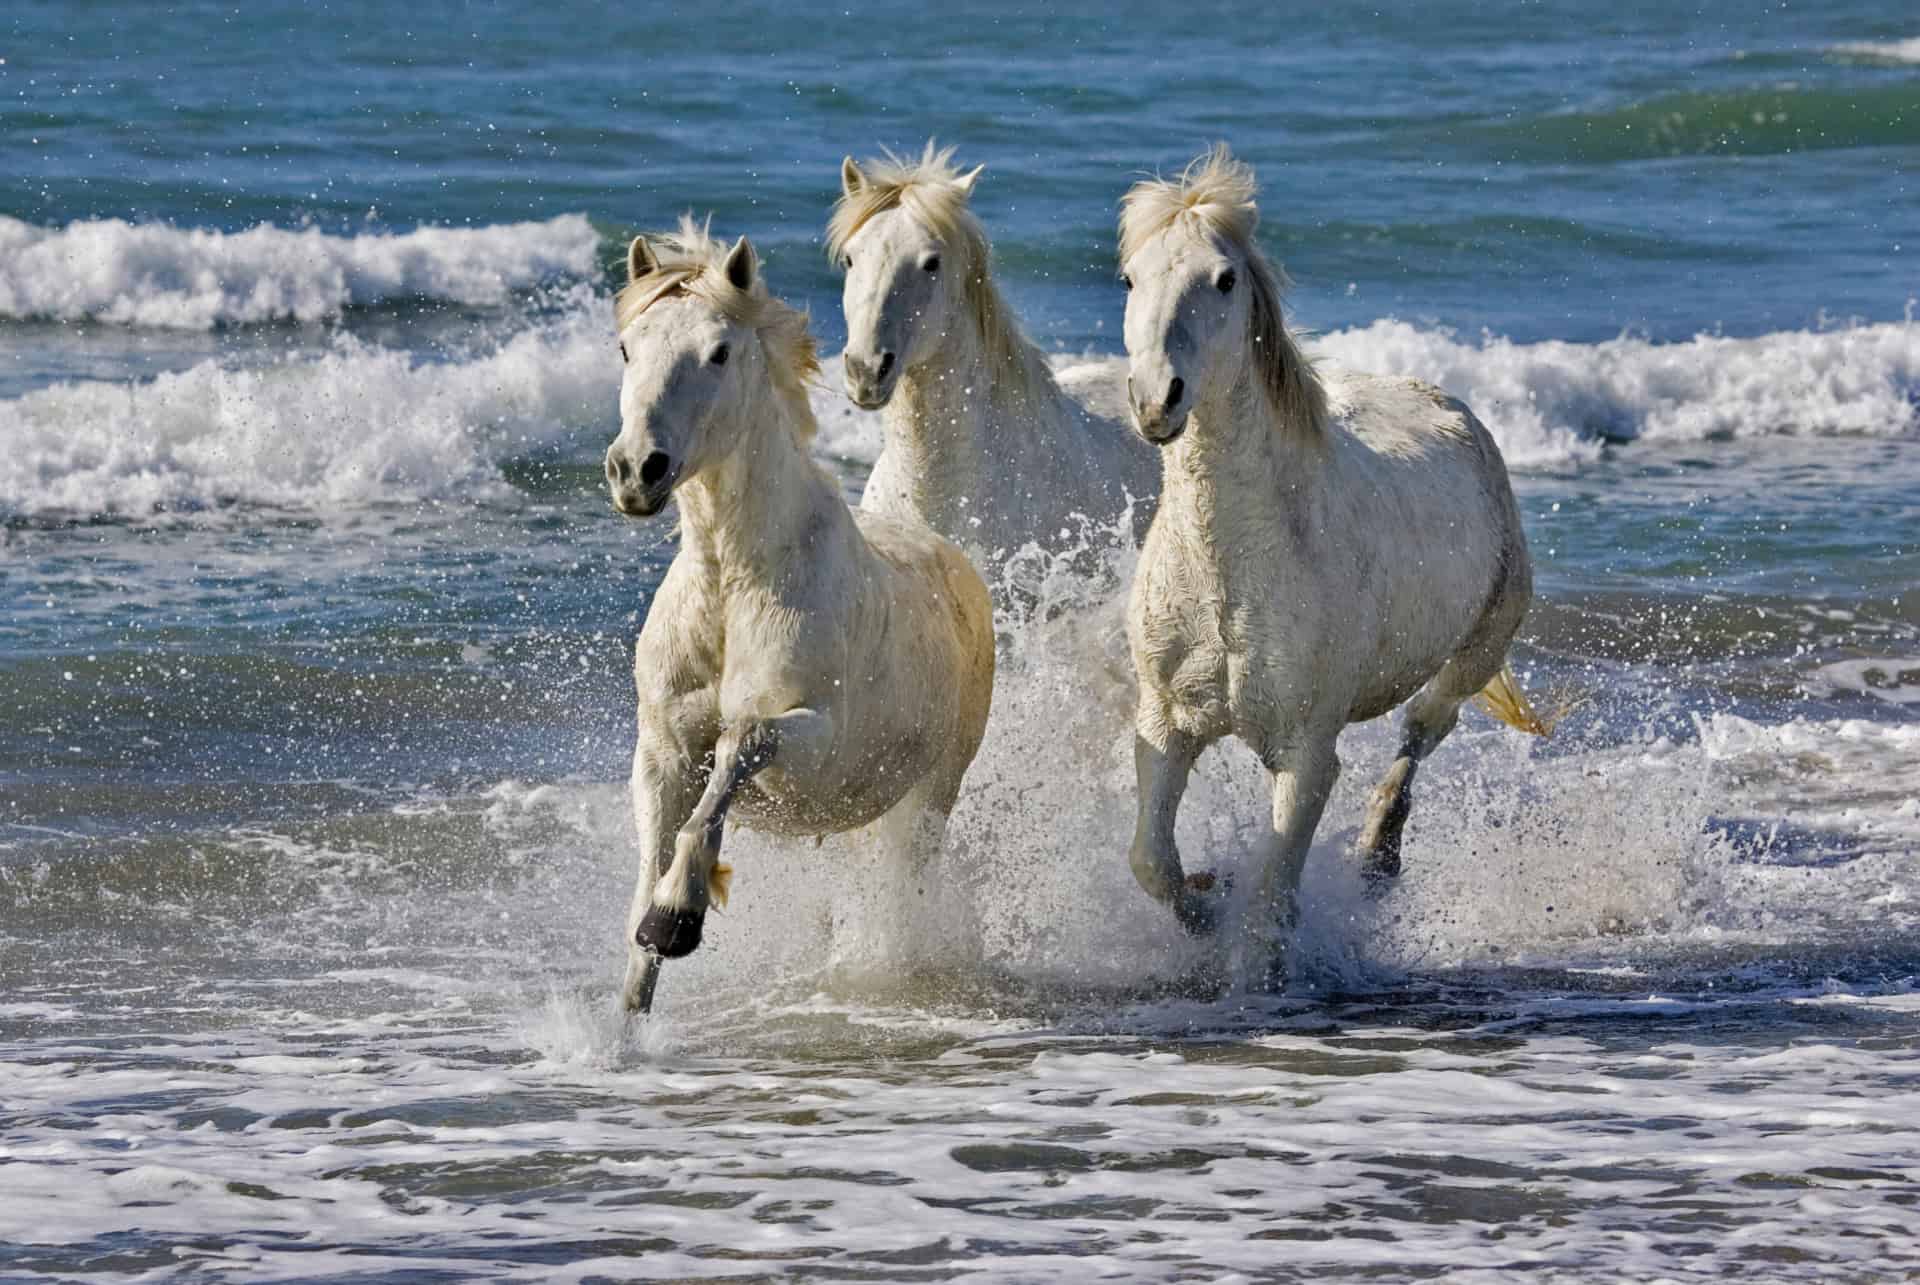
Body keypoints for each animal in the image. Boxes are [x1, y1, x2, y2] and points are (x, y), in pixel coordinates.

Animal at [602, 220, 998, 1014]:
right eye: (629, 346)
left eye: (718, 352)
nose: (636, 471)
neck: (731, 592)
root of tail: (954, 559)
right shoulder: (661, 753)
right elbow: (642, 907)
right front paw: (630, 1000)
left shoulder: (814, 748)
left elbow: (741, 740)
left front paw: (679, 914)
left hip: (927, 795)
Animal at [1113, 145, 1543, 975]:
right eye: (1129, 278)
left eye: (1223, 279)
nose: (1156, 400)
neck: (1232, 571)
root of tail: (1448, 404)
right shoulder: (1167, 723)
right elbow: (1152, 862)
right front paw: (1207, 902)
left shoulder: (1307, 755)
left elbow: (1270, 902)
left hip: (1475, 653)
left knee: (1420, 733)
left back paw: (1379, 855)